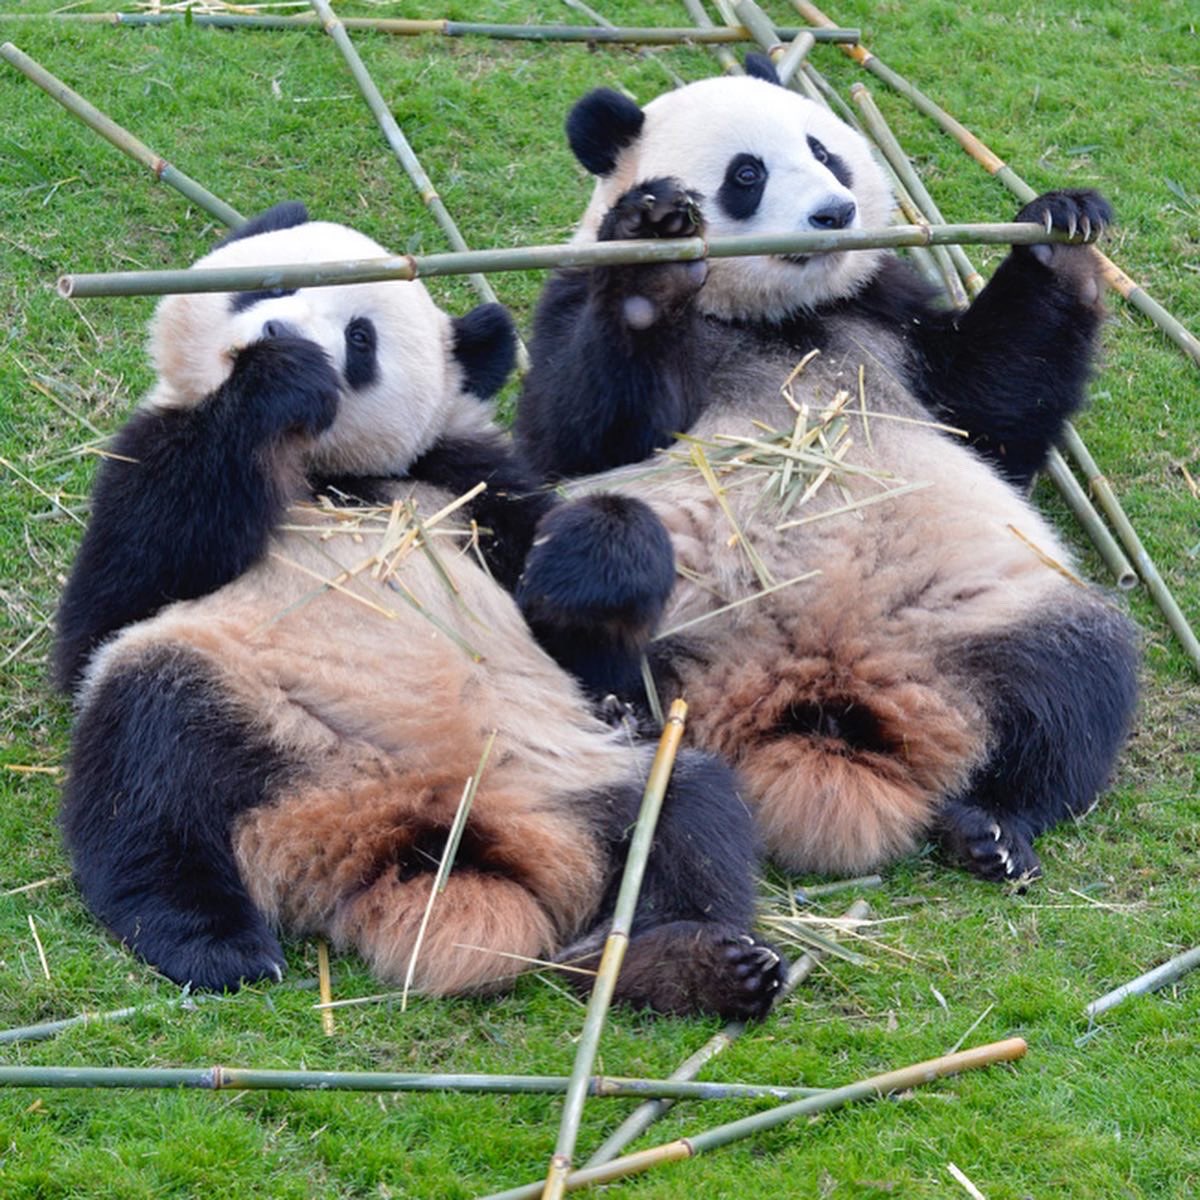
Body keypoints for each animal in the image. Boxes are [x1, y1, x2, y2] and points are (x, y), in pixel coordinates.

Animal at [52, 203, 787, 1019]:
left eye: (360, 338)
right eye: (269, 285)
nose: (278, 331)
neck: (327, 472)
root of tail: (394, 837)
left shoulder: (467, 482)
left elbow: (593, 651)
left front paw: (650, 271)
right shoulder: (143, 458)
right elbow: (108, 610)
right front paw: (275, 382)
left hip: (562, 779)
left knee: (685, 810)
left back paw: (683, 964)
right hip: (252, 710)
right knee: (149, 766)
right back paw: (212, 942)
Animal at [514, 58, 1140, 884]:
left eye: (825, 151)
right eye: (746, 174)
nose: (837, 212)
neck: (779, 317)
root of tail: (819, 691)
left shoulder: (887, 309)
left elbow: (993, 415)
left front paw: (1061, 232)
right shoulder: (572, 297)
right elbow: (576, 434)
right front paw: (654, 258)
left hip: (987, 609)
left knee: (1076, 684)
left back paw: (994, 827)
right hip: (681, 619)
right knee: (584, 572)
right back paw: (625, 709)